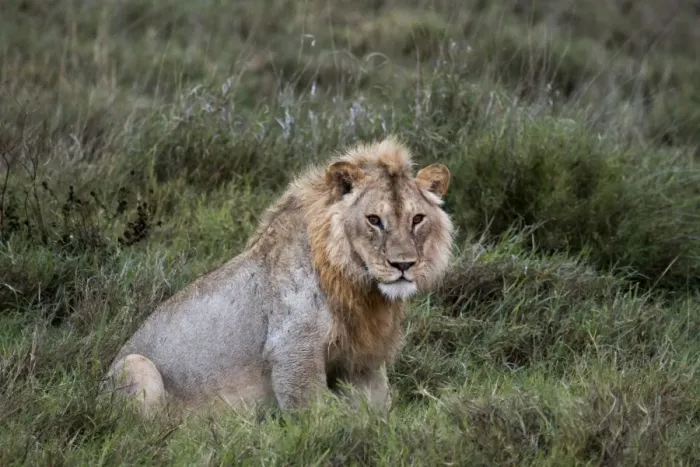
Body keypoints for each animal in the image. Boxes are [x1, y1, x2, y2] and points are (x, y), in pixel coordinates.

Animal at [102, 136, 454, 418]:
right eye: (374, 220)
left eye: (417, 219)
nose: (403, 264)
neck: (358, 286)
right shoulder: (292, 347)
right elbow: (319, 415)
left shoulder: (361, 360)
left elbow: (377, 408)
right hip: (134, 364)